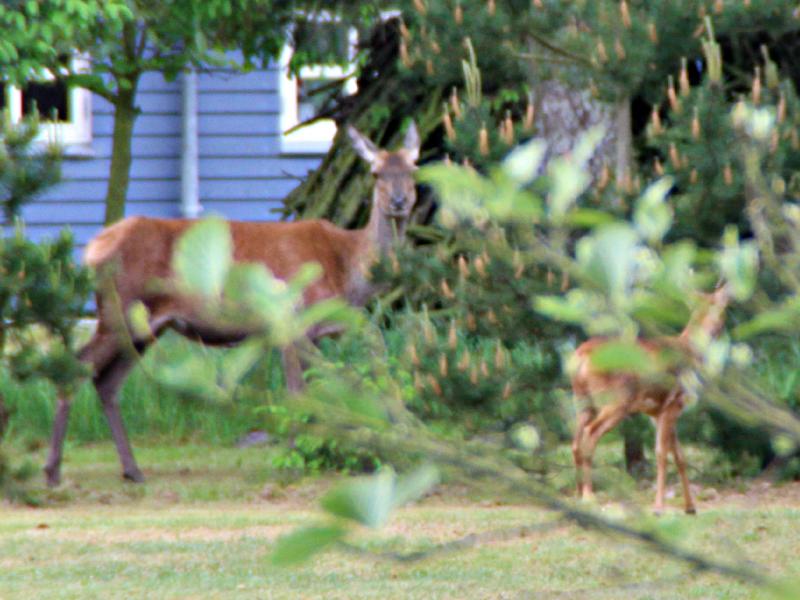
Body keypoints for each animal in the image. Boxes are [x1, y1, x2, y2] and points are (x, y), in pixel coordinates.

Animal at [44, 122, 420, 487]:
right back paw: (53, 471)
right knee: (78, 365)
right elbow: (298, 392)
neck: (348, 268)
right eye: (376, 173)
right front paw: (295, 458)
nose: (399, 201)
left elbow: (359, 361)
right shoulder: (291, 318)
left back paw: (132, 470)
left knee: (106, 381)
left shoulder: (330, 324)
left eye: (414, 170)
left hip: (146, 325)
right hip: (117, 309)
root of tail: (92, 250)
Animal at [570, 284, 730, 515]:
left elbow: (679, 456)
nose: (719, 329)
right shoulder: (674, 403)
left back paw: (577, 494)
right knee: (591, 434)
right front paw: (658, 507)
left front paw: (690, 507)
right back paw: (589, 496)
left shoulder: (658, 411)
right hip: (617, 399)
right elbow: (662, 454)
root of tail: (582, 355)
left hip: (582, 400)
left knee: (575, 442)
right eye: (724, 307)